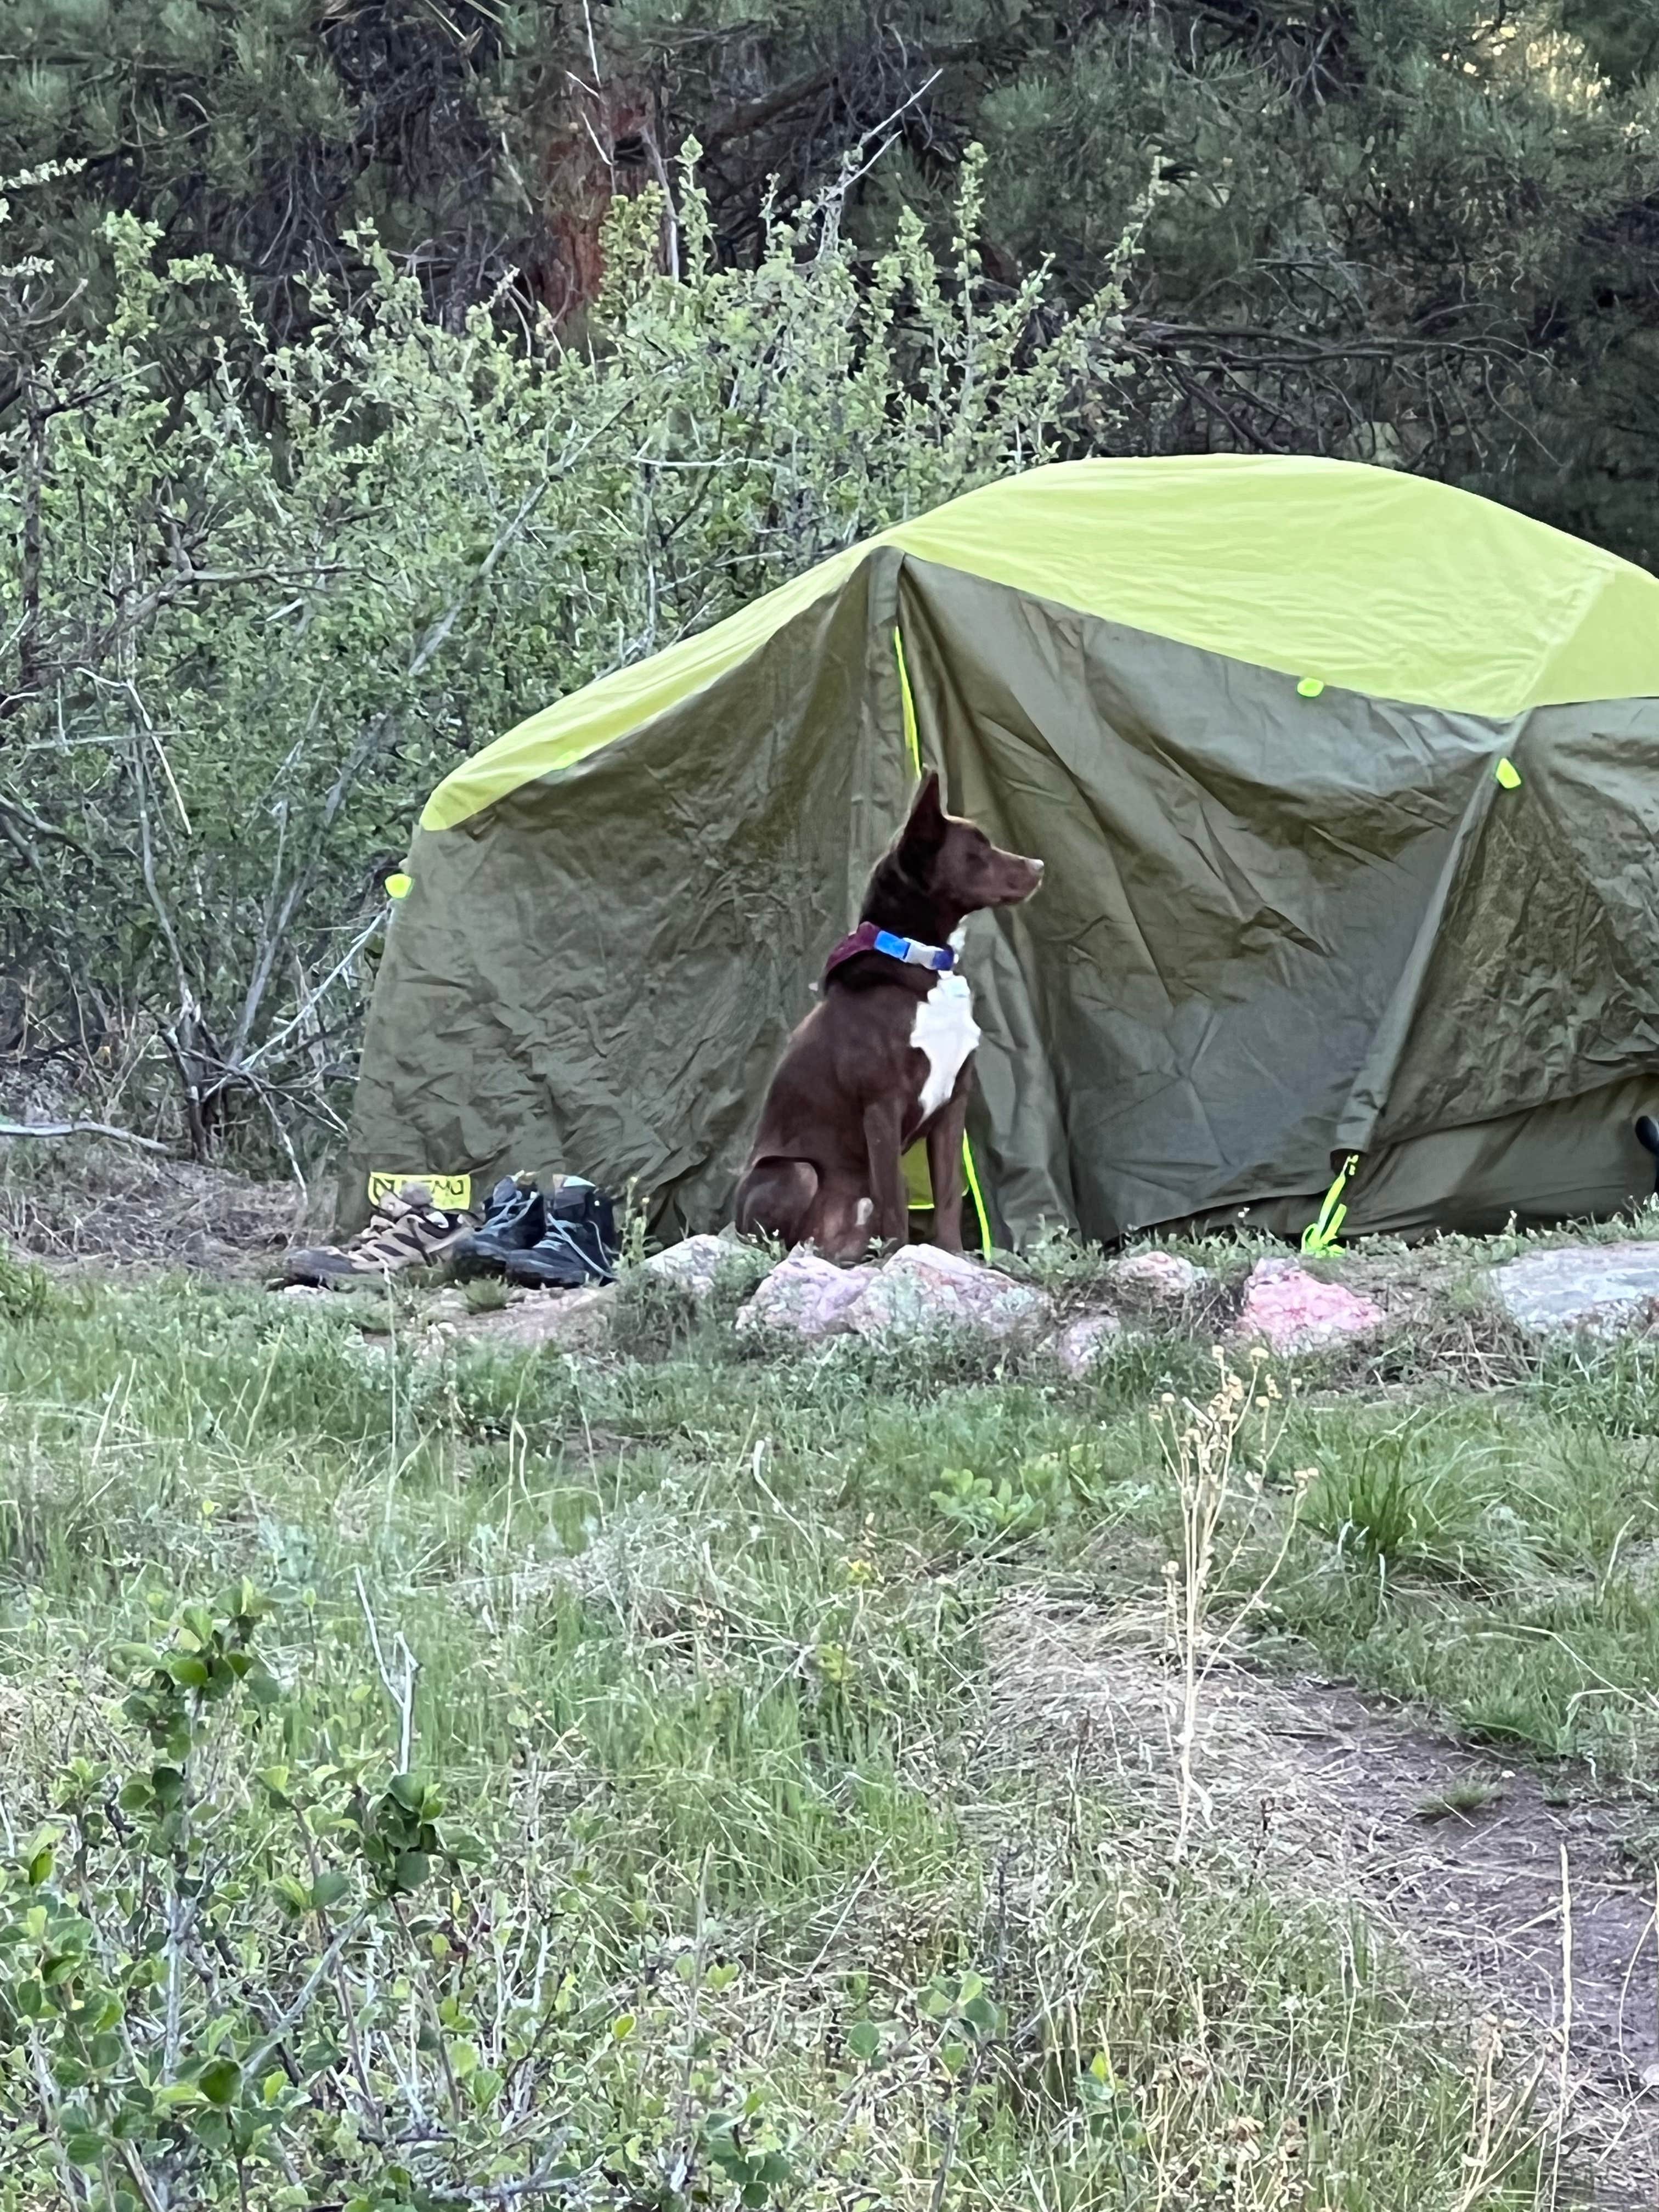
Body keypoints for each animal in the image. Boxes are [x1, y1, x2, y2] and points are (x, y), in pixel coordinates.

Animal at [738, 774, 1044, 1265]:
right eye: (978, 850)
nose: (1039, 865)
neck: (919, 965)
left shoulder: (953, 1105)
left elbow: (947, 1195)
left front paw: (951, 1256)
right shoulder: (882, 1105)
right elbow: (896, 1203)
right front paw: (900, 1257)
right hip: (797, 1173)